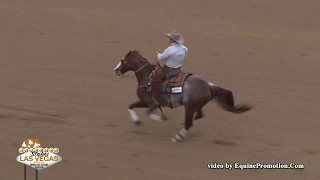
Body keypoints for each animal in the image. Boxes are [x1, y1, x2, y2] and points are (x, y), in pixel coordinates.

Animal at [114, 50, 254, 142]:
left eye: (122, 60)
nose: (115, 70)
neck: (147, 77)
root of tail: (209, 85)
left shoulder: (149, 102)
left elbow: (143, 111)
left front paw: (161, 118)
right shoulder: (148, 103)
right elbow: (131, 106)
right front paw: (137, 121)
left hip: (190, 107)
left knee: (189, 123)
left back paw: (177, 137)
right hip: (195, 106)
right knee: (196, 117)